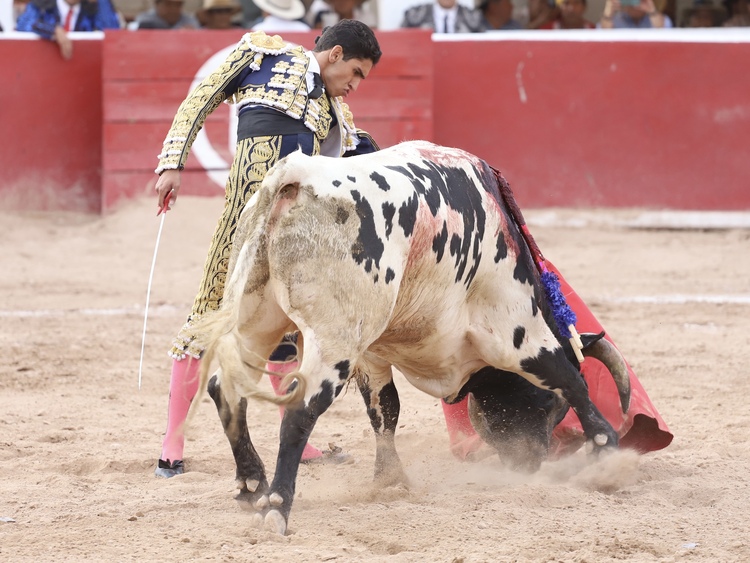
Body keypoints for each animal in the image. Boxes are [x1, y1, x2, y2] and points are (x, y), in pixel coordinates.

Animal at [193, 140, 630, 534]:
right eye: (549, 407)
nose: (530, 464)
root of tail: (295, 178)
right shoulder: (517, 332)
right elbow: (570, 379)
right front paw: (608, 450)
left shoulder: (370, 356)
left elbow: (385, 410)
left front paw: (390, 481)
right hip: (334, 340)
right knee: (301, 407)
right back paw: (277, 507)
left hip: (256, 318)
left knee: (225, 388)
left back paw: (252, 485)